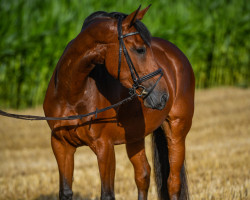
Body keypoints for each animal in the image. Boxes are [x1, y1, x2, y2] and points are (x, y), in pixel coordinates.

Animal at [43, 5, 195, 200]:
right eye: (140, 49)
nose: (163, 96)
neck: (72, 95)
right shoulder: (60, 145)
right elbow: (65, 191)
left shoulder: (104, 148)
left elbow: (107, 194)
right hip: (135, 136)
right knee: (143, 175)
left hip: (176, 131)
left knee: (173, 182)